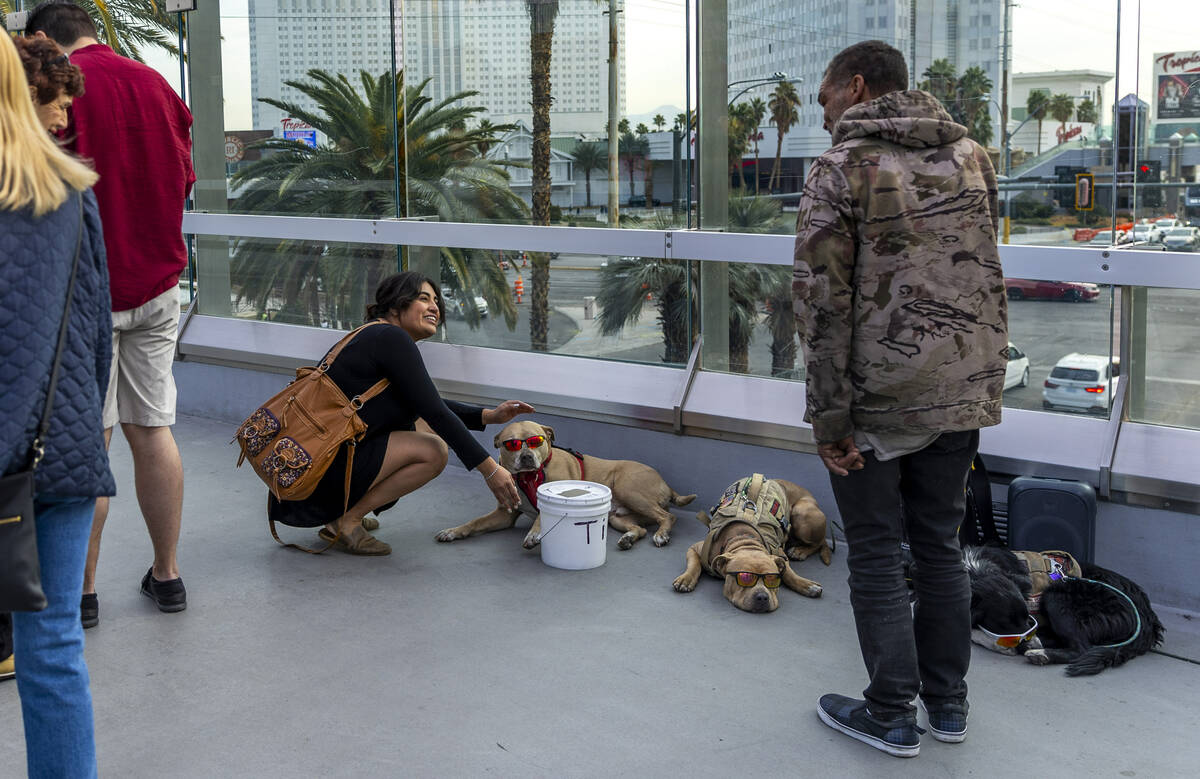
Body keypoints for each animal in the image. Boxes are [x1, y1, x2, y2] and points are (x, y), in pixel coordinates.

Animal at [434, 420, 700, 552]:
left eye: (536, 440)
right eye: (512, 444)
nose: (527, 457)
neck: (529, 476)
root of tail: (665, 483)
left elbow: (539, 518)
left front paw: (534, 534)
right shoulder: (504, 514)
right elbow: (474, 523)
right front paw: (454, 531)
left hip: (630, 489)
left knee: (667, 516)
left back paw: (662, 534)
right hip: (618, 517)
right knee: (640, 528)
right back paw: (629, 538)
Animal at [672, 472, 830, 614]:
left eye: (772, 578)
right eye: (745, 577)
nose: (762, 597)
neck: (745, 539)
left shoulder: (779, 553)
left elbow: (789, 573)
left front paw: (807, 585)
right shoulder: (696, 548)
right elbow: (694, 564)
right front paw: (686, 579)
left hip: (803, 513)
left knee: (819, 542)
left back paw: (800, 550)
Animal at [955, 544, 1161, 672]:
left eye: (1028, 618)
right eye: (1004, 624)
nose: (1030, 643)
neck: (975, 569)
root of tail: (1147, 617)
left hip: (1056, 594)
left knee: (1081, 648)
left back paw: (1041, 653)